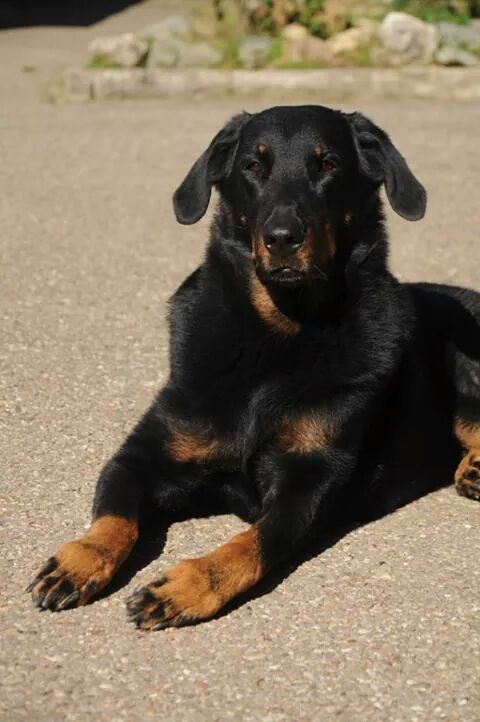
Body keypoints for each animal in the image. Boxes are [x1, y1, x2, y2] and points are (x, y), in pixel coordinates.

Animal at [28, 104, 478, 628]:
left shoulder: (309, 479)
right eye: (252, 166)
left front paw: (186, 586)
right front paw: (80, 560)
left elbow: (250, 544)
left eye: (328, 164)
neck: (279, 332)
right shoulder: (143, 452)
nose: (282, 238)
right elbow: (114, 514)